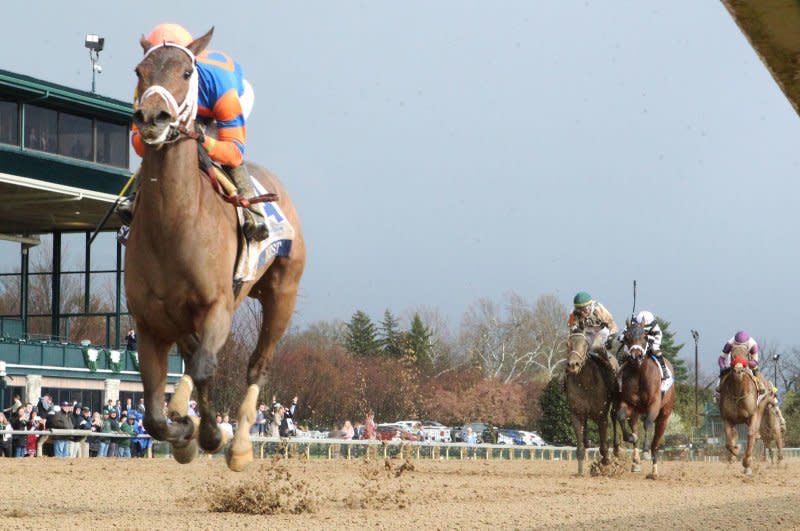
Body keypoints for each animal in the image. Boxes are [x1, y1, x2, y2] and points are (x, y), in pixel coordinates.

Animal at [126, 28, 304, 474]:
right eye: (139, 71)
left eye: (187, 72)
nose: (152, 117)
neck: (174, 225)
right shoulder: (150, 322)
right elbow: (153, 416)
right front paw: (183, 431)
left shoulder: (217, 305)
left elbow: (208, 369)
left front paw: (210, 434)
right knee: (191, 359)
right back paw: (181, 412)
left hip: (282, 293)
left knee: (256, 365)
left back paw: (239, 446)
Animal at [564, 332, 620, 478]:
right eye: (567, 344)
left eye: (585, 345)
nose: (573, 365)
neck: (586, 383)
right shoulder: (576, 414)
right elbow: (580, 446)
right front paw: (580, 471)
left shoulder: (601, 416)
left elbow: (604, 445)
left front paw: (605, 463)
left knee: (615, 418)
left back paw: (616, 449)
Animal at [620, 318, 676, 480]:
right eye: (627, 337)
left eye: (645, 337)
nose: (636, 356)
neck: (639, 373)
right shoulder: (628, 404)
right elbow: (621, 417)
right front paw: (631, 438)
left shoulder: (654, 404)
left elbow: (648, 423)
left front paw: (645, 452)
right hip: (636, 412)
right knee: (634, 426)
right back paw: (635, 461)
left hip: (664, 416)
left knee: (655, 442)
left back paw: (654, 470)